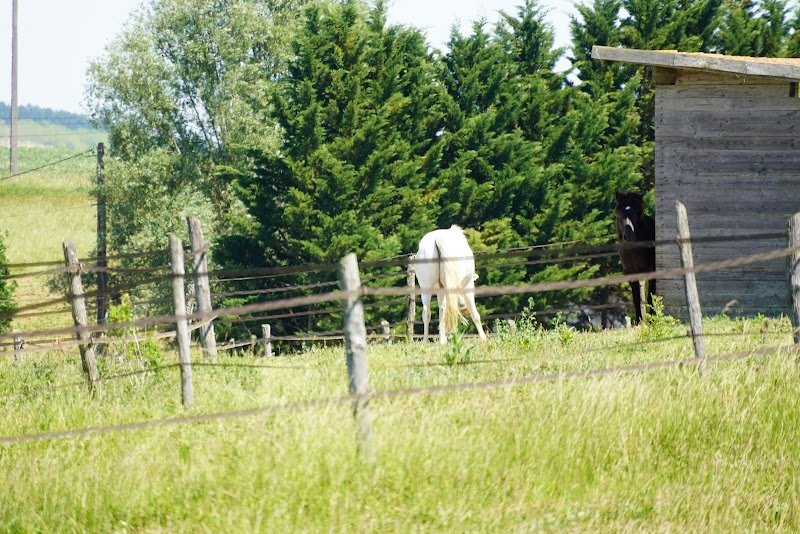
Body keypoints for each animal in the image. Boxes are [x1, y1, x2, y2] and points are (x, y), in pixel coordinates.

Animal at [614, 192, 656, 325]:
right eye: (620, 213)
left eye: (636, 213)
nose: (629, 236)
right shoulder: (631, 274)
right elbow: (636, 299)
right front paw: (639, 322)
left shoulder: (653, 272)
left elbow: (651, 295)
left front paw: (652, 320)